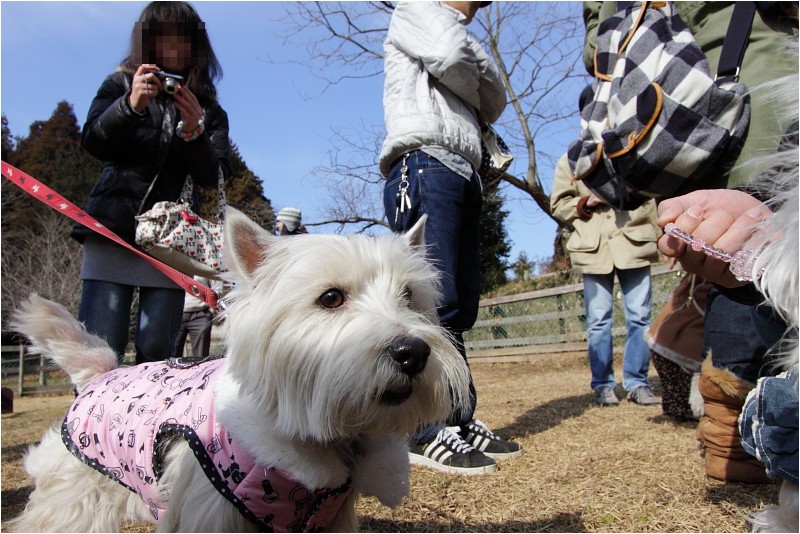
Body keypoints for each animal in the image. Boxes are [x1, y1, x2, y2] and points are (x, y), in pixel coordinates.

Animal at [9, 211, 472, 532]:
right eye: (330, 298)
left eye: (409, 296)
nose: (412, 352)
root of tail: (100, 372)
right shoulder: (209, 512)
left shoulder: (331, 517)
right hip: (75, 493)